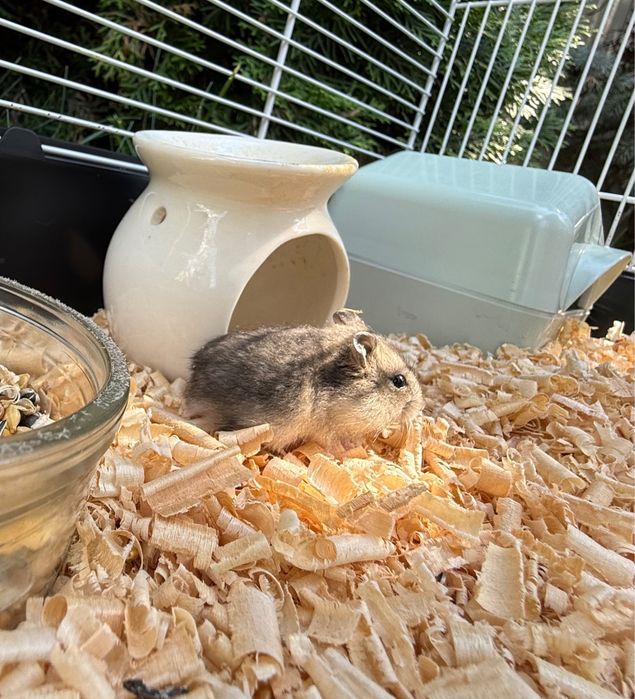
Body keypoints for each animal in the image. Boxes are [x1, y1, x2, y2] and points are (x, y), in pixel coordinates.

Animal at [185, 310, 423, 455]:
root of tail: (191, 394)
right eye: (399, 381)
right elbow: (335, 443)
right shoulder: (326, 430)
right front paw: (353, 450)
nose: (420, 406)